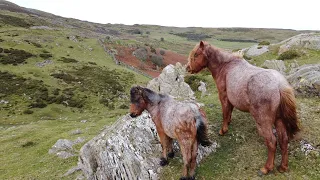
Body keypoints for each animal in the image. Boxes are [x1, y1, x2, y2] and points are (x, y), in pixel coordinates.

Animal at [185, 41, 300, 176]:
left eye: (196, 54)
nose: (187, 68)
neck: (226, 66)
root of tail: (279, 85)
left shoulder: (223, 96)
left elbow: (225, 112)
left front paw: (223, 130)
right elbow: (229, 111)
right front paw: (228, 123)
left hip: (264, 122)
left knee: (272, 142)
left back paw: (266, 168)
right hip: (279, 120)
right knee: (284, 140)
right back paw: (283, 167)